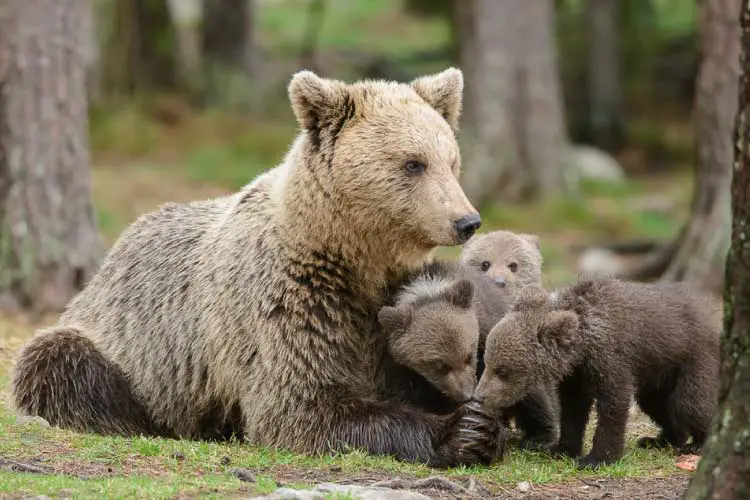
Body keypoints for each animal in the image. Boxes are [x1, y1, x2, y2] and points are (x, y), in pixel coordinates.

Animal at [11, 68, 502, 466]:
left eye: (451, 161)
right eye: (413, 163)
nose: (467, 220)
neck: (351, 255)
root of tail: (110, 259)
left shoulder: (390, 301)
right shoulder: (289, 299)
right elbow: (302, 405)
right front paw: (461, 431)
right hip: (123, 346)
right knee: (60, 362)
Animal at [378, 260, 560, 448]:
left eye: (469, 356)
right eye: (440, 365)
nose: (467, 395)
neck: (429, 291)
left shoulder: (490, 328)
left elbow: (527, 389)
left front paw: (540, 435)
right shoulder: (402, 369)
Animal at [476, 278, 724, 468]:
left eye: (502, 370)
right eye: (487, 360)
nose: (479, 396)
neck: (582, 344)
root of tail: (710, 318)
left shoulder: (610, 358)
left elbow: (613, 405)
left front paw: (596, 459)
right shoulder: (576, 375)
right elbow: (572, 411)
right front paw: (560, 448)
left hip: (693, 357)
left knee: (690, 402)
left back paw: (699, 443)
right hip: (658, 374)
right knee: (658, 405)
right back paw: (659, 439)